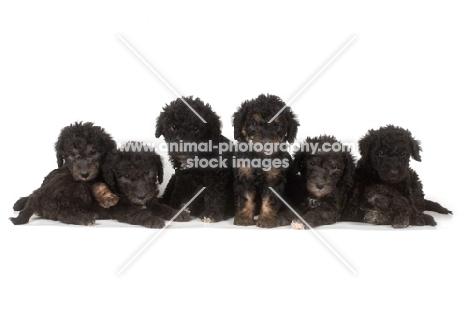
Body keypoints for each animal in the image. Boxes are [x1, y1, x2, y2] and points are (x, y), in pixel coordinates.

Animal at [231, 92, 300, 228]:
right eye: (254, 124)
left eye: (277, 126)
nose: (266, 143)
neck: (260, 157)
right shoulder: (244, 174)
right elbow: (246, 198)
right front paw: (244, 217)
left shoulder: (274, 178)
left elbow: (270, 200)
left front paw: (267, 220)